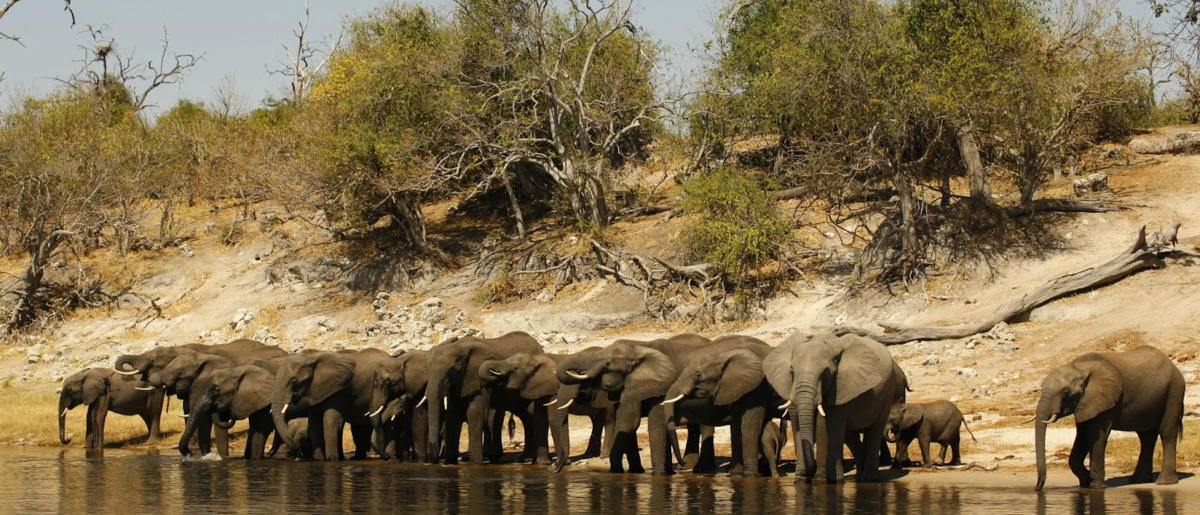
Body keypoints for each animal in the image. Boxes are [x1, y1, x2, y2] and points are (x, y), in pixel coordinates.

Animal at [424, 331, 542, 463]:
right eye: (427, 369)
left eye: (452, 370)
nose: (434, 459)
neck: (458, 347)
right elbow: (453, 414)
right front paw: (450, 463)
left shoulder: (478, 379)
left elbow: (474, 412)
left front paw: (475, 463)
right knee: (525, 416)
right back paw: (525, 458)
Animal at [662, 336, 782, 477]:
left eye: (698, 375)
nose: (682, 464)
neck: (723, 357)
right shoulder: (736, 387)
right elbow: (736, 424)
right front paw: (736, 474)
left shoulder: (759, 385)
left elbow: (749, 423)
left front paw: (750, 476)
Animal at [763, 328, 902, 482]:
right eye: (792, 371)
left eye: (825, 373)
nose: (806, 474)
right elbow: (800, 423)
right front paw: (802, 480)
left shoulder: (841, 385)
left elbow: (827, 424)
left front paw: (824, 481)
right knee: (850, 434)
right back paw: (858, 478)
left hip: (889, 389)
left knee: (875, 429)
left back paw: (868, 479)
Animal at [1032, 345, 1180, 489]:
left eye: (1065, 392)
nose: (1037, 488)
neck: (1079, 368)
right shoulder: (1085, 403)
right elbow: (1082, 436)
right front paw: (1086, 482)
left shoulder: (1106, 401)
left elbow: (1096, 436)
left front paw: (1096, 487)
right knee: (1146, 437)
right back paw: (1138, 481)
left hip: (1173, 392)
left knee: (1167, 434)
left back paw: (1164, 482)